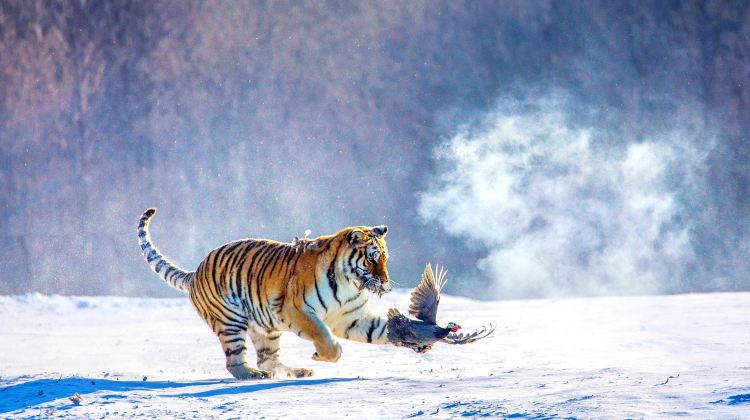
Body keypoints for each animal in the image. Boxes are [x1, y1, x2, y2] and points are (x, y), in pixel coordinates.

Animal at [137, 208, 394, 378]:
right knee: (235, 361)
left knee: (267, 360)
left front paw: (405, 332)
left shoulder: (352, 317)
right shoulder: (295, 309)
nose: (385, 282)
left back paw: (298, 371)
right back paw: (252, 374)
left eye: (384, 259)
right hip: (230, 321)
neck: (349, 282)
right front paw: (324, 354)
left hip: (266, 328)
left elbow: (379, 330)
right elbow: (321, 333)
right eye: (371, 259)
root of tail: (195, 273)